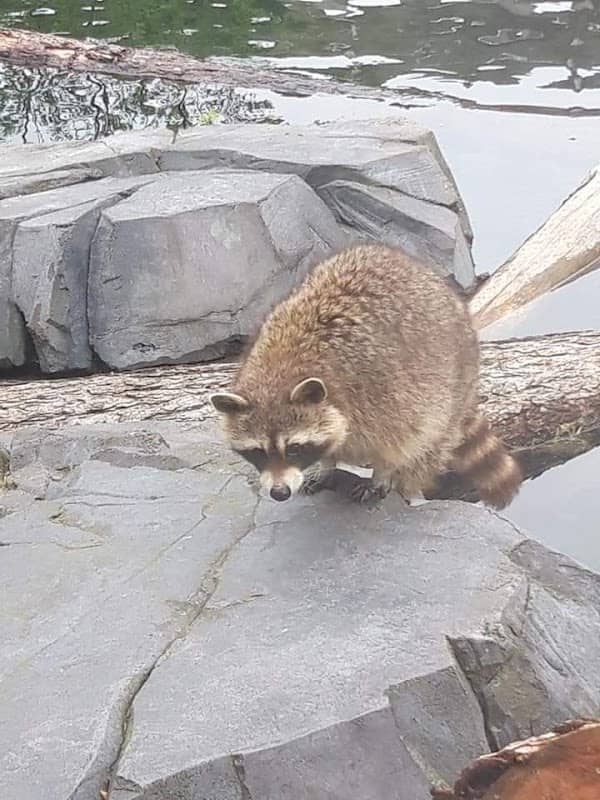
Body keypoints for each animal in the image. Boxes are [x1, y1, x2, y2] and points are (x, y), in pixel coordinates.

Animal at [210, 244, 522, 508]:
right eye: (258, 452)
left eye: (295, 449)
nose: (279, 492)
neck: (281, 371)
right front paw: (327, 463)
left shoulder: (385, 392)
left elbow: (401, 441)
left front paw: (382, 474)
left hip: (451, 385)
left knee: (429, 447)